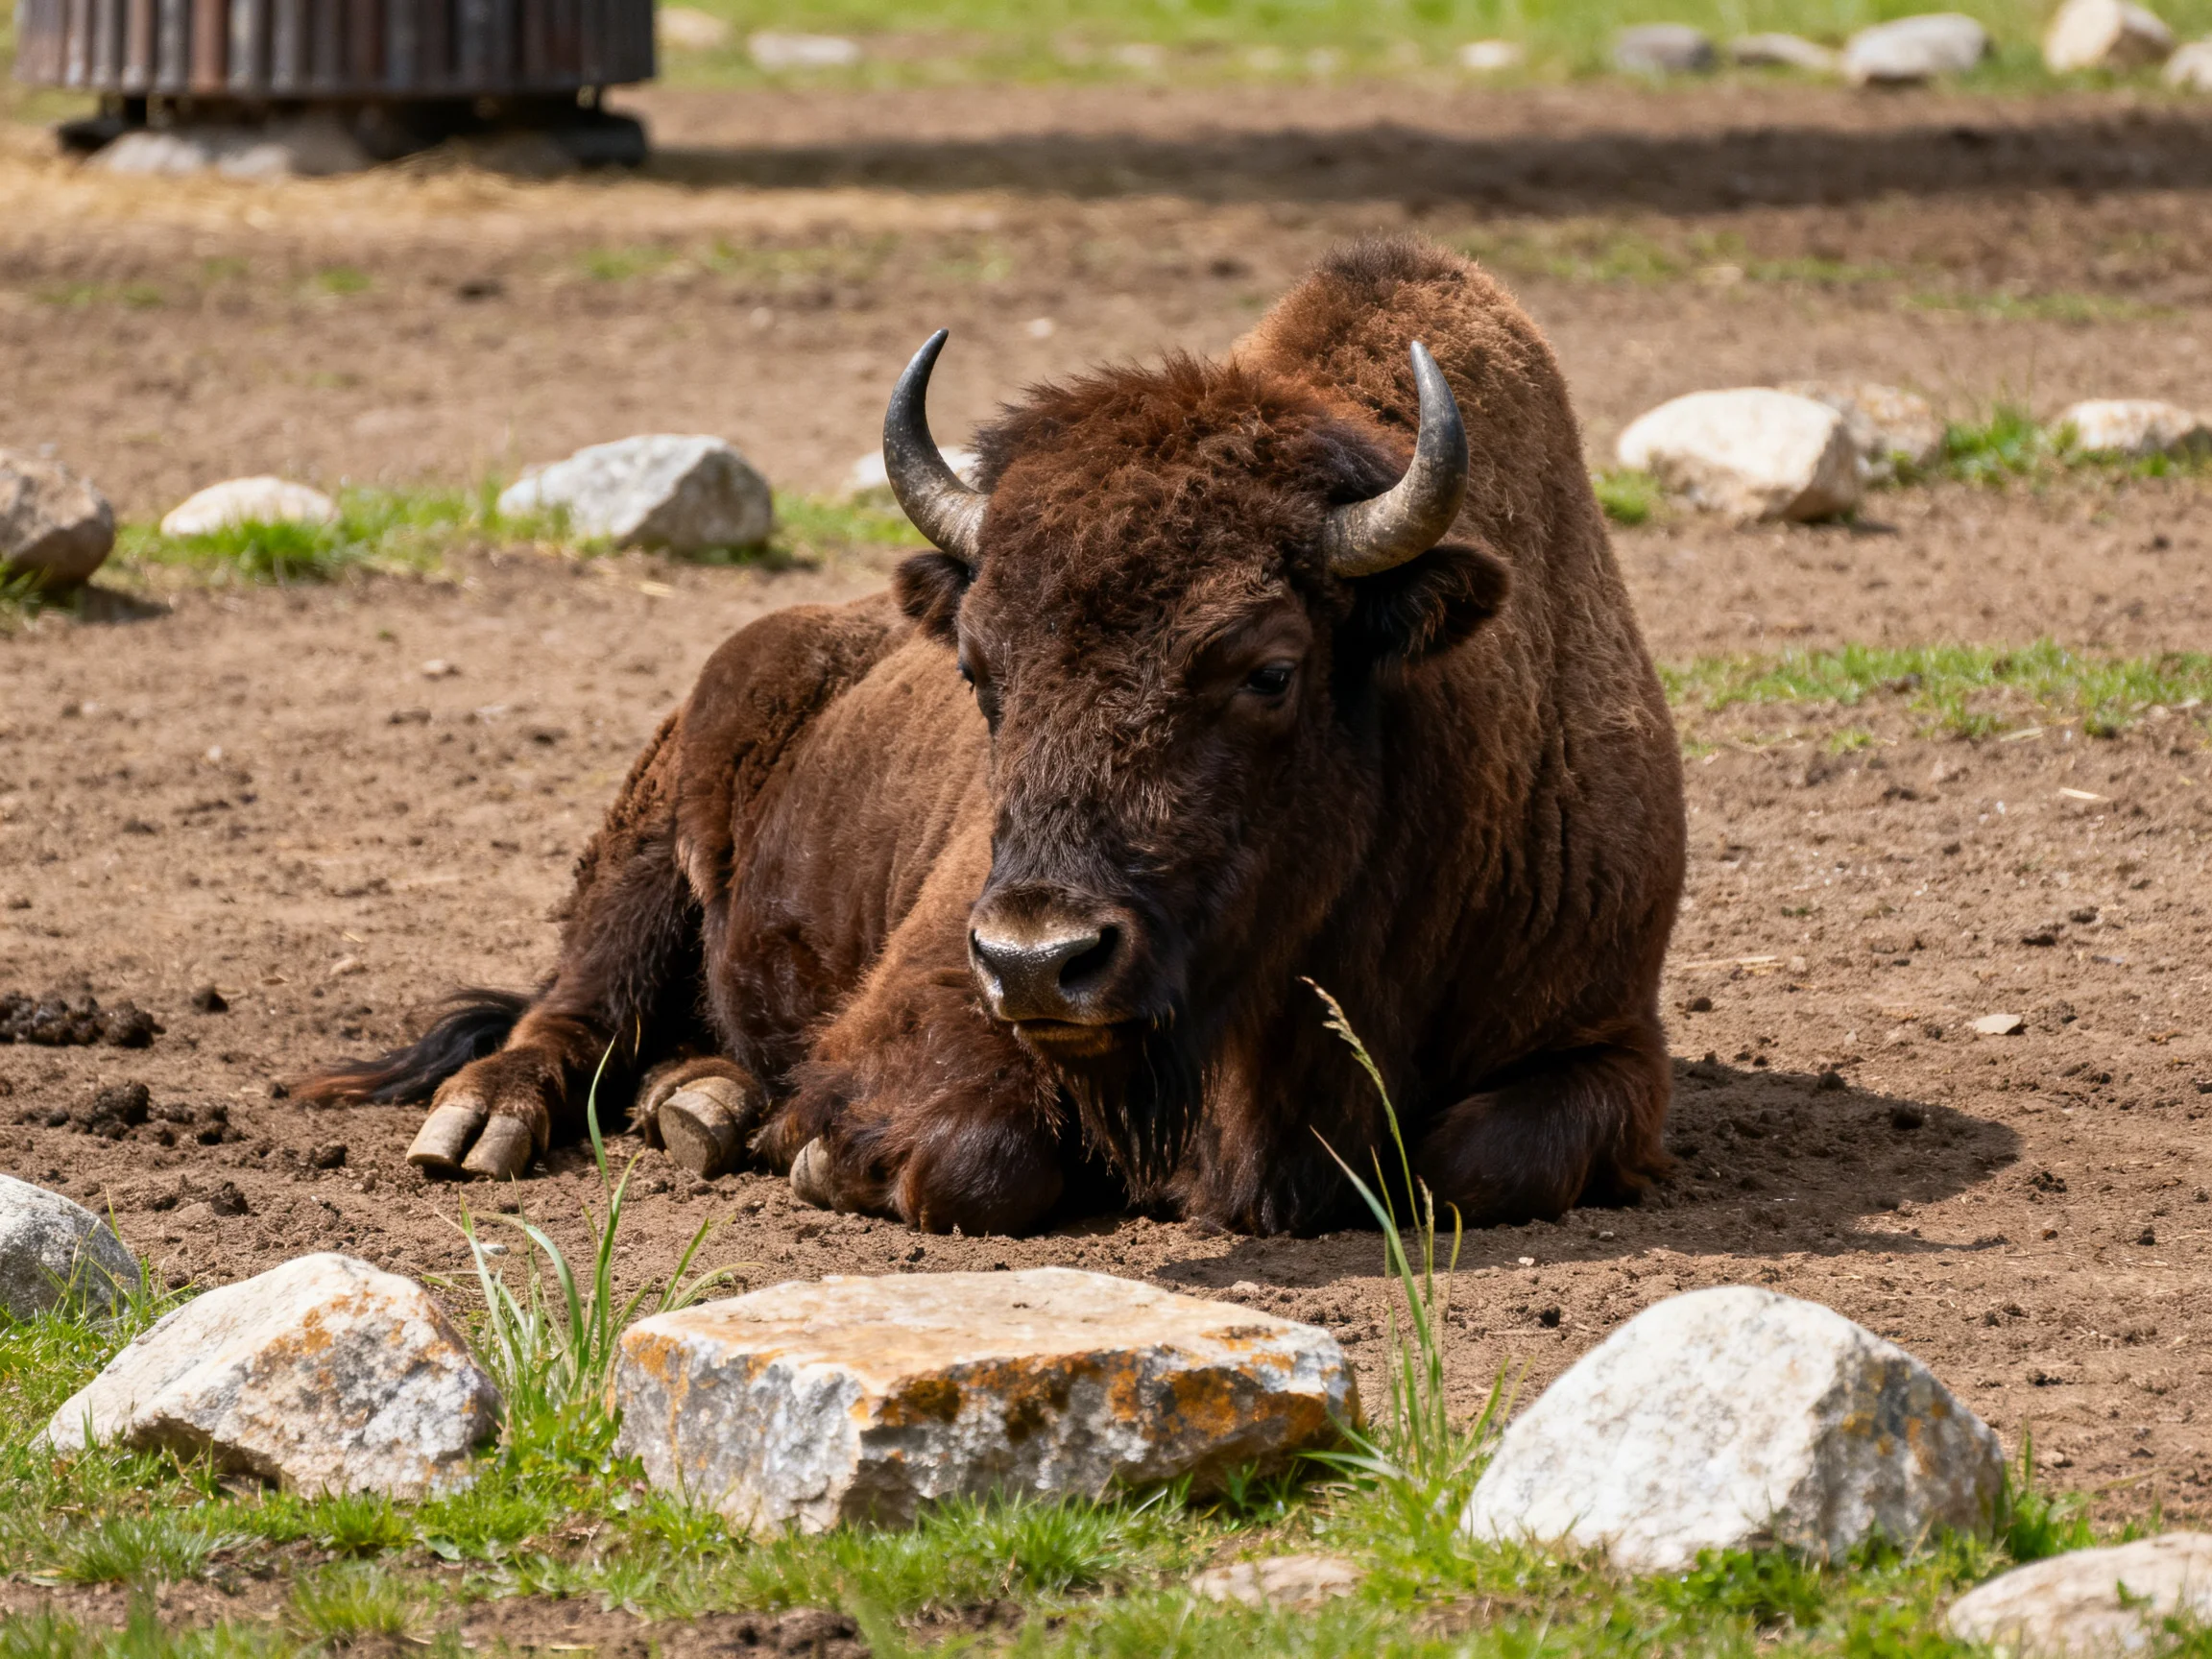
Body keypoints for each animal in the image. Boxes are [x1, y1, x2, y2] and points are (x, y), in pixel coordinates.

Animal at [302, 236, 1686, 1237]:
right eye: (979, 667)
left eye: (1272, 668)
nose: (1039, 960)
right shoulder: (933, 999)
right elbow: (975, 1155)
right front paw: (816, 1156)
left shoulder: (1608, 1042)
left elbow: (1476, 1158)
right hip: (644, 862)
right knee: (571, 1011)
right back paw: (489, 1127)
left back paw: (699, 1101)